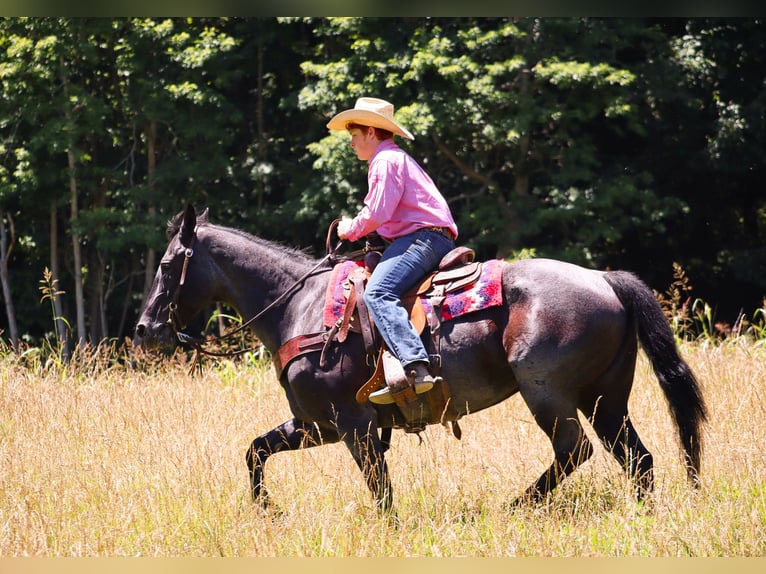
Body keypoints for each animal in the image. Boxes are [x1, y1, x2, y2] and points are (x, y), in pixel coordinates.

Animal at [135, 206, 712, 512]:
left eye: (167, 264)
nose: (144, 328)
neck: (299, 307)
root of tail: (605, 279)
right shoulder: (315, 424)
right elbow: (255, 451)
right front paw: (267, 512)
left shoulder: (354, 425)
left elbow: (380, 490)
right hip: (606, 396)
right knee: (637, 459)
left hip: (547, 392)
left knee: (575, 451)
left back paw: (514, 508)